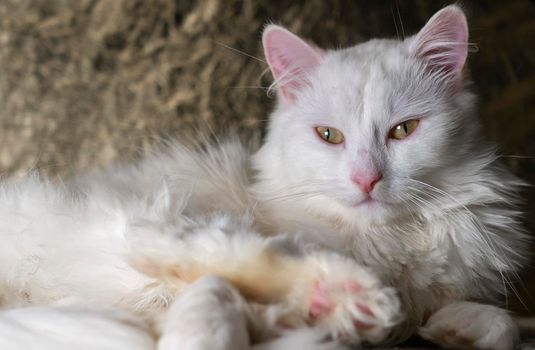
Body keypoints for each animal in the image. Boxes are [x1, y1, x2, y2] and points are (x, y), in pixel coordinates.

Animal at [0, 4, 528, 350]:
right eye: (329, 136)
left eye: (404, 130)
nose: (367, 180)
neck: (384, 244)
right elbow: (219, 292)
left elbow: (503, 324)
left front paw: (458, 330)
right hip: (134, 224)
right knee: (197, 255)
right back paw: (353, 299)